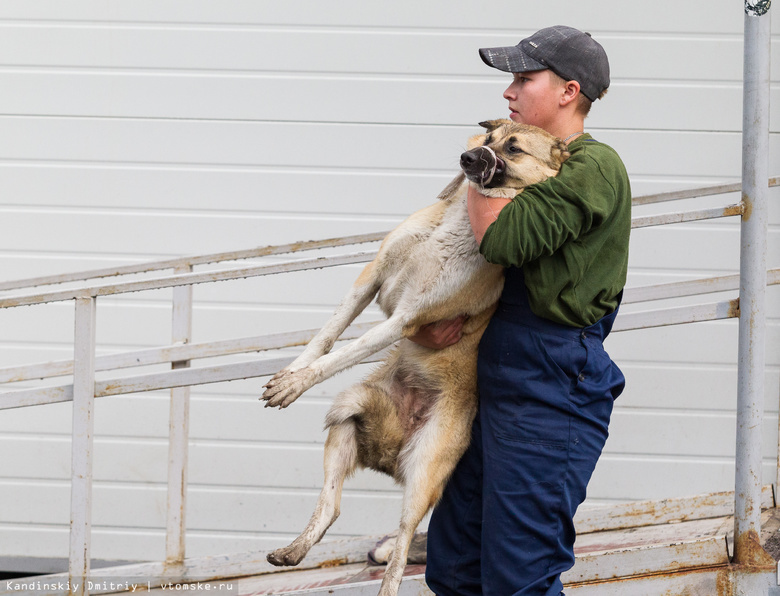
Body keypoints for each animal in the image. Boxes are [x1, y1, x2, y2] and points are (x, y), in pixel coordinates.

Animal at [262, 121, 568, 596]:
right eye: (489, 138)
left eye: (514, 148)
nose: (467, 158)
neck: (456, 225)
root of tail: (392, 451)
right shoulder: (370, 279)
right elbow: (327, 338)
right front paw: (292, 375)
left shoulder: (404, 319)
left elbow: (341, 353)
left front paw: (296, 382)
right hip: (347, 415)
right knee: (331, 506)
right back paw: (293, 551)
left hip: (424, 472)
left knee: (404, 542)